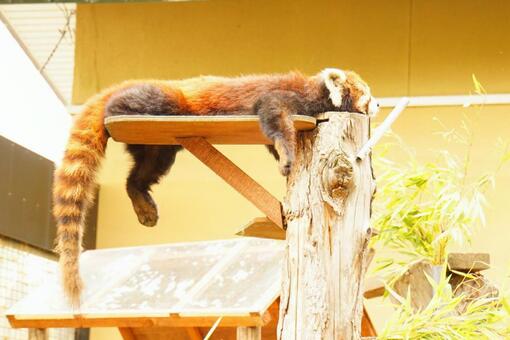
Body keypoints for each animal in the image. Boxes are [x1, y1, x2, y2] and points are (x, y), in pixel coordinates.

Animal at [52, 67, 378, 306]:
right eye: (366, 92)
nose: (376, 103)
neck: (317, 93)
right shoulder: (289, 98)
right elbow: (273, 113)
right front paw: (286, 154)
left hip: (159, 146)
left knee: (146, 169)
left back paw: (142, 201)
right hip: (164, 103)